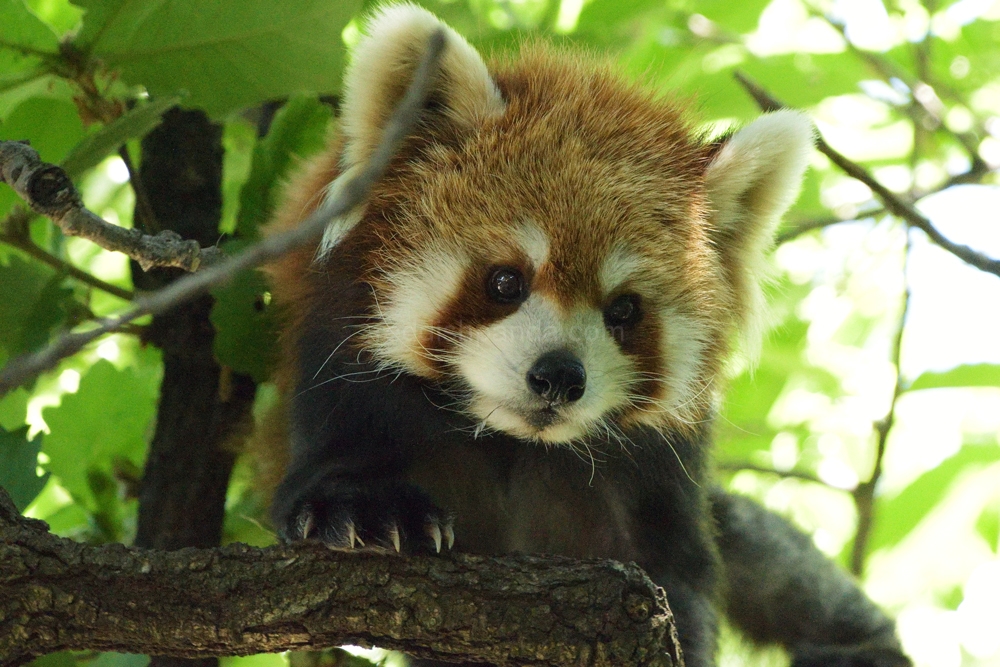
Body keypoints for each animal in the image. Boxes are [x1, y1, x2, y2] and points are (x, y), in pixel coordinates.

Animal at [262, 5, 912, 667]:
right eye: (505, 281)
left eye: (624, 310)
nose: (559, 375)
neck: (509, 442)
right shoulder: (337, 355)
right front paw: (366, 506)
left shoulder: (652, 477)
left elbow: (677, 580)